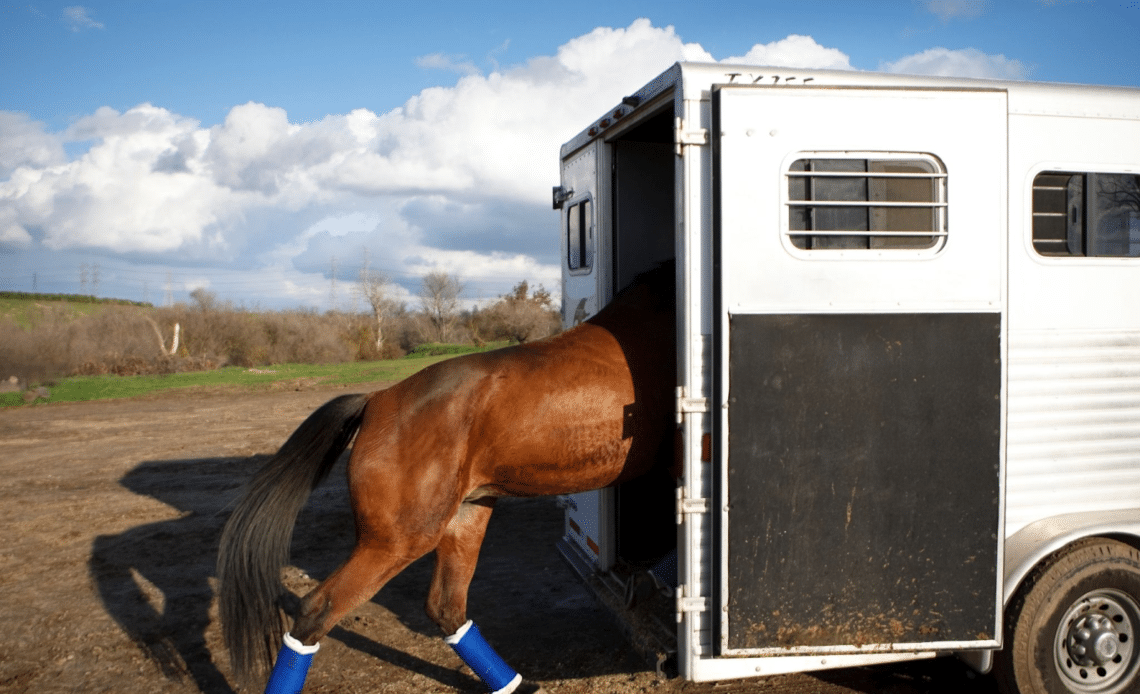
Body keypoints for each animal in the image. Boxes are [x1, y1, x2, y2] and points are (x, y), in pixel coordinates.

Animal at [217, 261, 676, 693]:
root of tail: (377, 401)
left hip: (466, 516)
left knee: (445, 608)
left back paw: (517, 684)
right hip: (398, 540)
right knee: (317, 611)